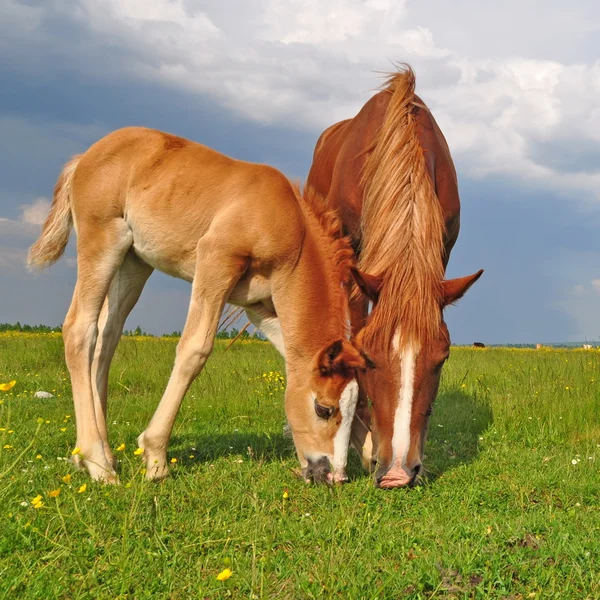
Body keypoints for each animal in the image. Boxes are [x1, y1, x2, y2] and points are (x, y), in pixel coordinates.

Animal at [30, 129, 372, 486]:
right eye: (323, 409)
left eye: (353, 408)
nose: (334, 476)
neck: (287, 222)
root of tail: (85, 157)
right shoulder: (216, 261)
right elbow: (195, 350)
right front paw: (156, 458)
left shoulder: (257, 307)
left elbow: (291, 355)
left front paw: (374, 453)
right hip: (102, 238)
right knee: (79, 328)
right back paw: (97, 462)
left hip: (134, 262)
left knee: (106, 339)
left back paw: (100, 454)